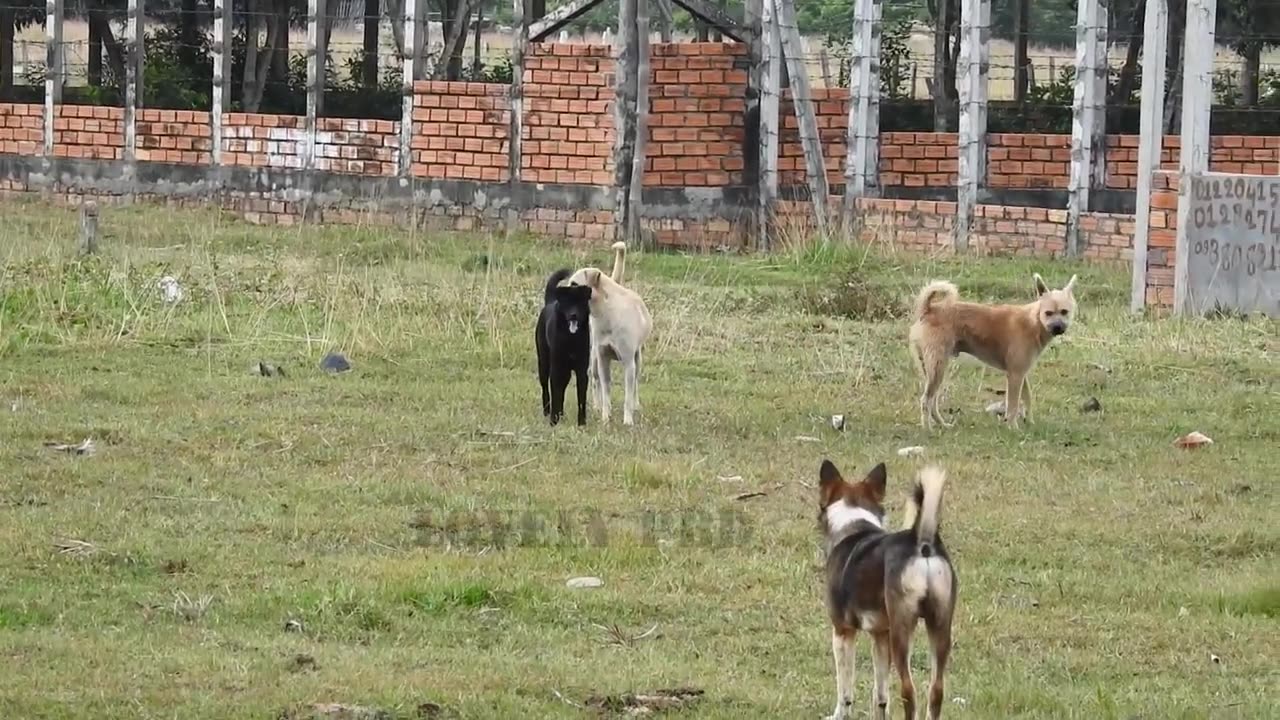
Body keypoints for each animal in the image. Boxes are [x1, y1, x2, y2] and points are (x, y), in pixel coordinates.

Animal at [532, 266, 591, 422]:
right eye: (568, 303)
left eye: (580, 303)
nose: (573, 315)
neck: (571, 339)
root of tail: (550, 301)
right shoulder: (556, 368)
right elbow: (556, 394)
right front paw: (554, 420)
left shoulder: (582, 370)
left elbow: (581, 399)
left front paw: (581, 422)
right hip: (544, 363)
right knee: (546, 389)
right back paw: (547, 411)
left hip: (565, 371)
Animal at [568, 240, 650, 422]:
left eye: (575, 284)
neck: (607, 313)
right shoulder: (603, 359)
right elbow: (606, 391)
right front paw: (605, 417)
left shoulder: (629, 362)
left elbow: (628, 396)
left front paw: (628, 420)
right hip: (594, 360)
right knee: (595, 381)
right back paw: (597, 407)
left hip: (637, 360)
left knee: (635, 384)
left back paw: (636, 405)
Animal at [906, 271, 1075, 427]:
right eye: (1048, 313)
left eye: (1064, 312)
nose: (1058, 327)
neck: (1034, 321)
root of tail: (929, 308)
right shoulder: (1015, 375)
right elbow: (1013, 405)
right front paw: (1013, 428)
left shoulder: (1022, 374)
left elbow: (1028, 399)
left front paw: (1030, 423)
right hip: (937, 368)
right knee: (926, 400)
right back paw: (928, 429)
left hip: (933, 370)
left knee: (933, 400)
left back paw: (941, 424)